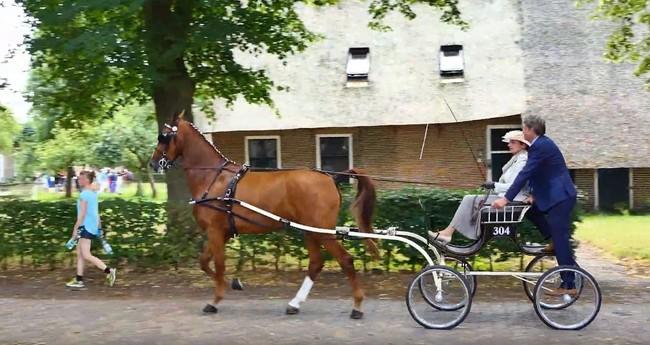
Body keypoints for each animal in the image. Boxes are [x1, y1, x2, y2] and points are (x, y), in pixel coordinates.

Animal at [149, 112, 378, 318]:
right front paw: (234, 284)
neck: (213, 178)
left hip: (322, 231)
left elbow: (219, 265)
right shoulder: (221, 233)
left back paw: (357, 306)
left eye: (163, 136)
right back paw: (294, 304)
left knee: (345, 260)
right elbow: (204, 262)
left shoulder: (215, 231)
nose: (153, 163)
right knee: (315, 263)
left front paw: (216, 299)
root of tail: (331, 178)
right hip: (309, 230)